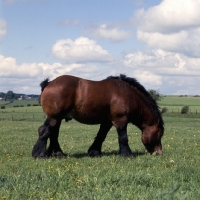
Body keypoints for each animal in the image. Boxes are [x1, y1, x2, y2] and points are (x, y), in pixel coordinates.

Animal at [31, 74, 164, 159]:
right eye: (159, 133)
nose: (159, 153)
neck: (128, 95)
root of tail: (48, 84)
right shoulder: (121, 120)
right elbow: (123, 138)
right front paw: (127, 154)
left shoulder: (107, 122)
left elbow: (100, 136)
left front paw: (94, 152)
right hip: (54, 117)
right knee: (44, 131)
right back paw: (40, 154)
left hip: (57, 118)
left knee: (53, 134)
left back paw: (59, 154)